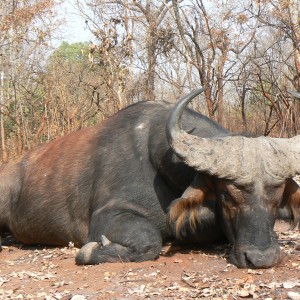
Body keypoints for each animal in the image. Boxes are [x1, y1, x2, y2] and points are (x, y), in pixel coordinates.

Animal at [0, 88, 298, 268]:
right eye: (227, 195)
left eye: (277, 196)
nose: (261, 258)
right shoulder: (110, 216)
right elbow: (148, 240)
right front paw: (89, 251)